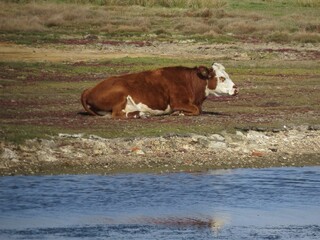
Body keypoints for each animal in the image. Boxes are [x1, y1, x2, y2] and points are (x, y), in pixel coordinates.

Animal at [81, 62, 239, 118]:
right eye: (221, 78)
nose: (236, 88)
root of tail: (89, 89)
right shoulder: (177, 102)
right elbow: (196, 110)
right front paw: (179, 113)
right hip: (120, 94)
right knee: (117, 114)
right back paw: (141, 114)